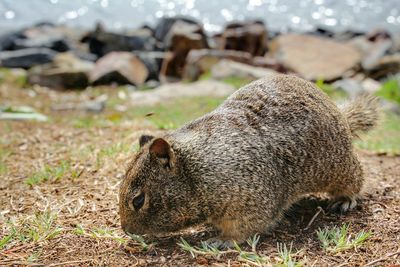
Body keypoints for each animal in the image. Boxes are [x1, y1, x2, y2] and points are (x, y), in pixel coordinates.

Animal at [118, 74, 378, 248]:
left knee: (355, 179)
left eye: (138, 200)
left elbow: (246, 227)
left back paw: (345, 200)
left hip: (338, 166)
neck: (197, 168)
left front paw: (221, 240)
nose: (126, 229)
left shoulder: (248, 199)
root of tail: (341, 115)